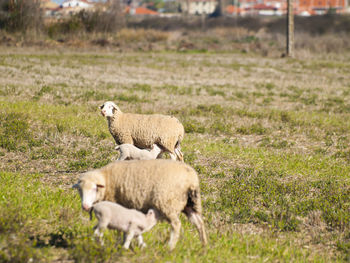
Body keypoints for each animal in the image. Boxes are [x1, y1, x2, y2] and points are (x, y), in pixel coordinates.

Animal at [72, 160, 206, 251]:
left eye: (94, 189)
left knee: (176, 225)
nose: (85, 207)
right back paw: (203, 246)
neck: (106, 179)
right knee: (199, 223)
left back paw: (170, 247)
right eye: (79, 190)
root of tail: (191, 178)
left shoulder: (117, 204)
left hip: (168, 203)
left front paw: (119, 242)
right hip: (191, 204)